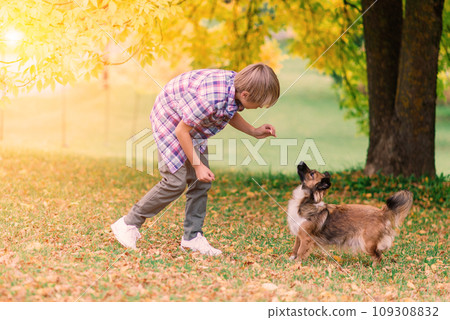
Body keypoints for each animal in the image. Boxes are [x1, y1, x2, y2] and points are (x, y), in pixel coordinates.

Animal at [286, 162, 414, 264]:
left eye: (312, 174)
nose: (301, 162)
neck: (305, 201)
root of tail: (381, 212)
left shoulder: (306, 238)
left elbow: (301, 251)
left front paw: (296, 264)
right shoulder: (299, 235)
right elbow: (295, 248)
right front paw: (291, 259)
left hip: (367, 243)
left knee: (378, 256)